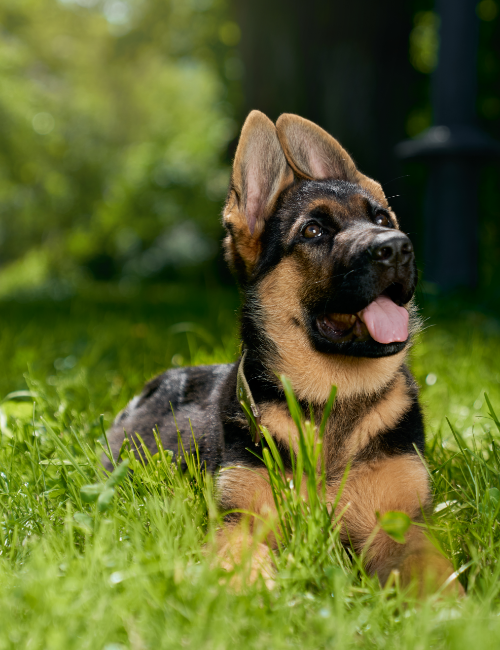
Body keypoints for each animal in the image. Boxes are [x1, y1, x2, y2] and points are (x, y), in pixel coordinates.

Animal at [107, 110, 462, 592]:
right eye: (313, 231)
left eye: (383, 218)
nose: (397, 247)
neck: (333, 395)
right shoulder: (242, 522)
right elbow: (240, 567)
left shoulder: (402, 524)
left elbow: (438, 578)